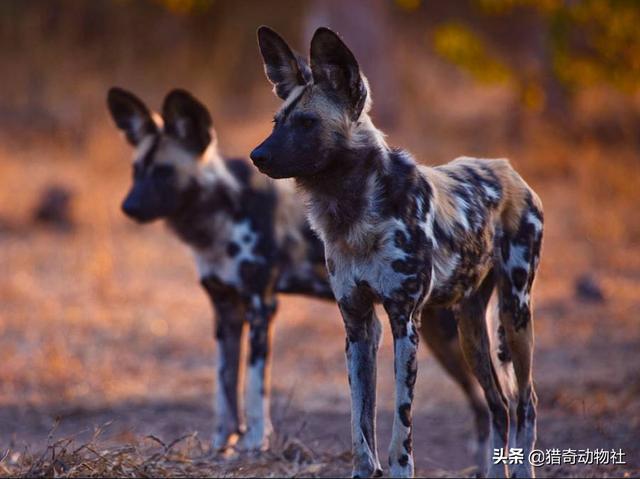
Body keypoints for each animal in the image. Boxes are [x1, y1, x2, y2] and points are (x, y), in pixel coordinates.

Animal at [252, 27, 544, 479]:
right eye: (276, 122)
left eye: (307, 123)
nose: (257, 156)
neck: (354, 211)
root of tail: (508, 169)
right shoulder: (357, 325)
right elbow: (360, 424)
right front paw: (362, 470)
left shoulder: (404, 321)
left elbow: (399, 427)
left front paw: (399, 468)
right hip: (470, 329)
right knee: (498, 406)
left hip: (515, 314)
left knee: (525, 401)